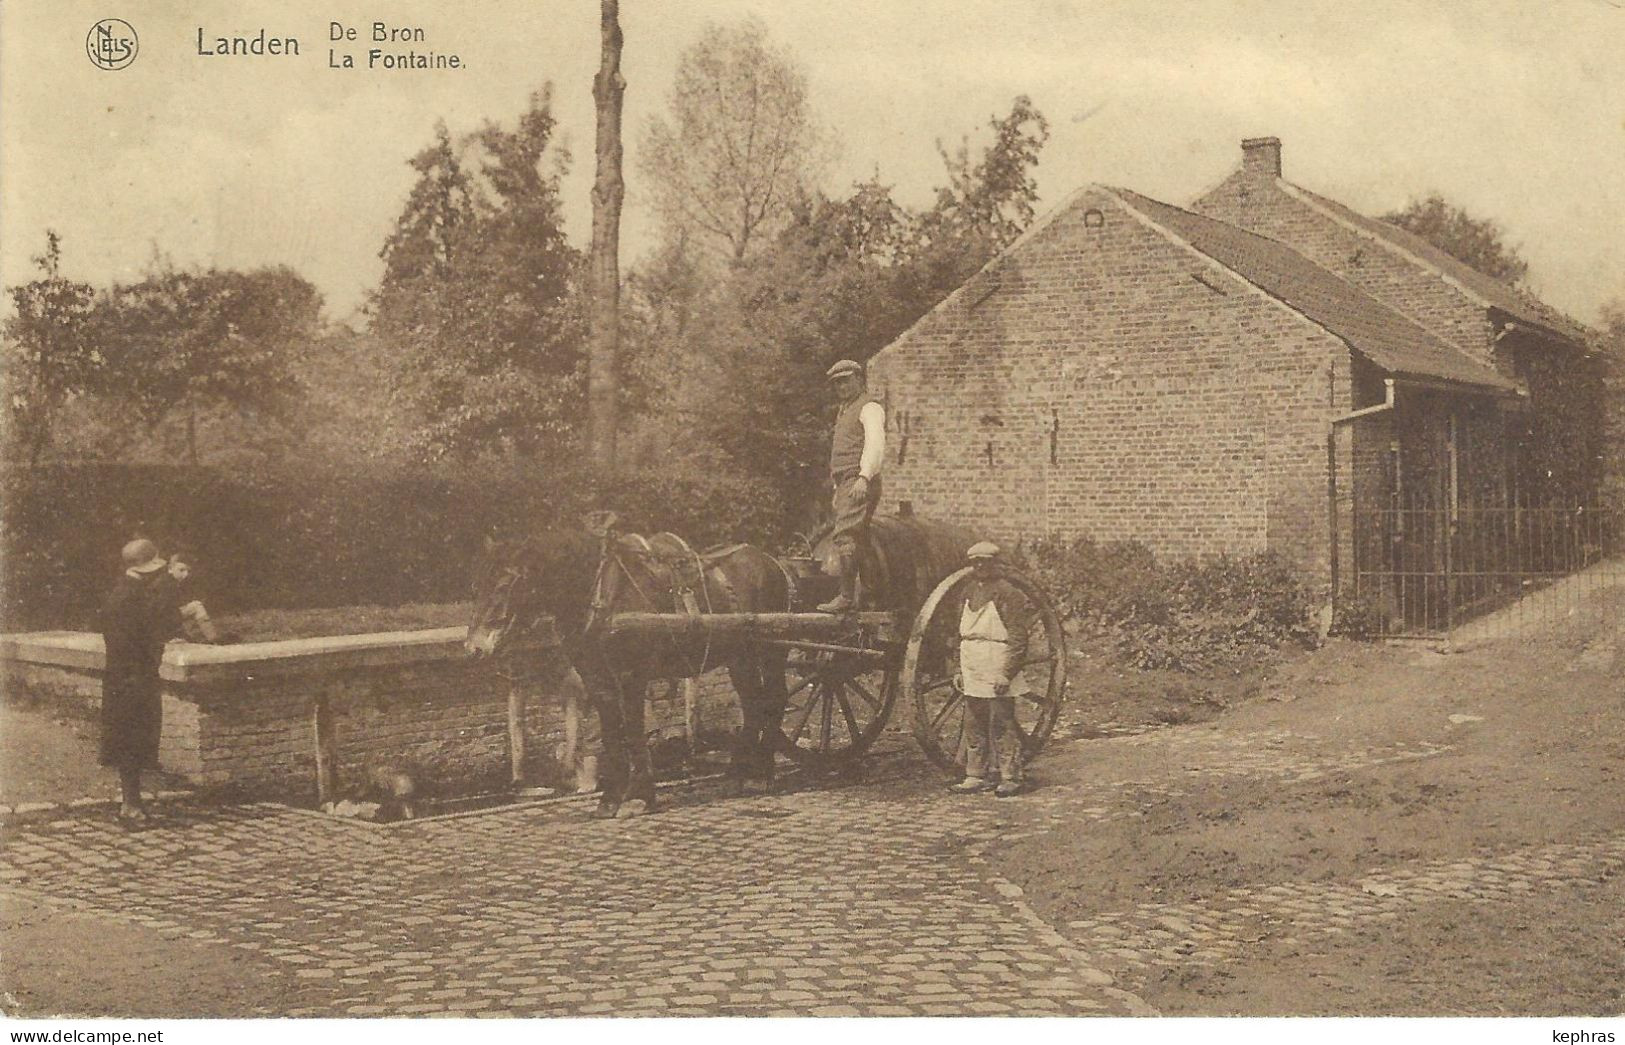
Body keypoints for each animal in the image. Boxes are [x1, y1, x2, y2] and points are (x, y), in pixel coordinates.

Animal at [464, 520, 793, 822]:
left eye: (505, 585)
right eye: (476, 586)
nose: (474, 647)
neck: (603, 594)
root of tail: (772, 562)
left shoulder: (632, 675)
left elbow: (633, 731)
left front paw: (639, 795)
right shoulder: (596, 677)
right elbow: (612, 732)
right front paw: (611, 797)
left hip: (770, 650)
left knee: (774, 698)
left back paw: (762, 772)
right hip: (740, 655)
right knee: (753, 703)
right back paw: (740, 769)